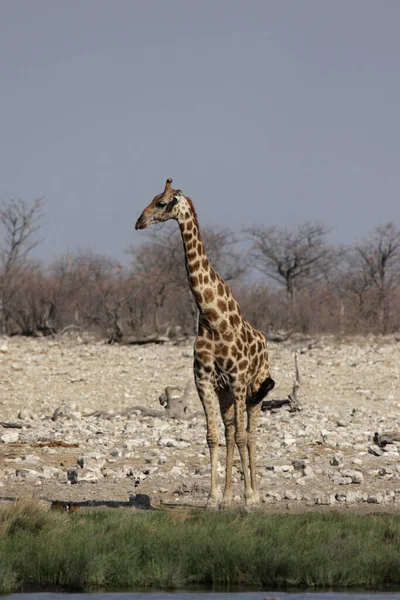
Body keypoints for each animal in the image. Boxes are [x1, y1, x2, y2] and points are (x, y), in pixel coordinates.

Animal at [135, 178, 276, 506]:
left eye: (162, 203)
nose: (139, 222)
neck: (212, 317)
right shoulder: (204, 380)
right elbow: (213, 436)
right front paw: (214, 499)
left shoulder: (237, 379)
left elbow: (241, 437)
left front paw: (248, 498)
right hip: (227, 394)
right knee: (229, 431)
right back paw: (228, 496)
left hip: (255, 391)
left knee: (249, 435)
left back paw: (255, 495)